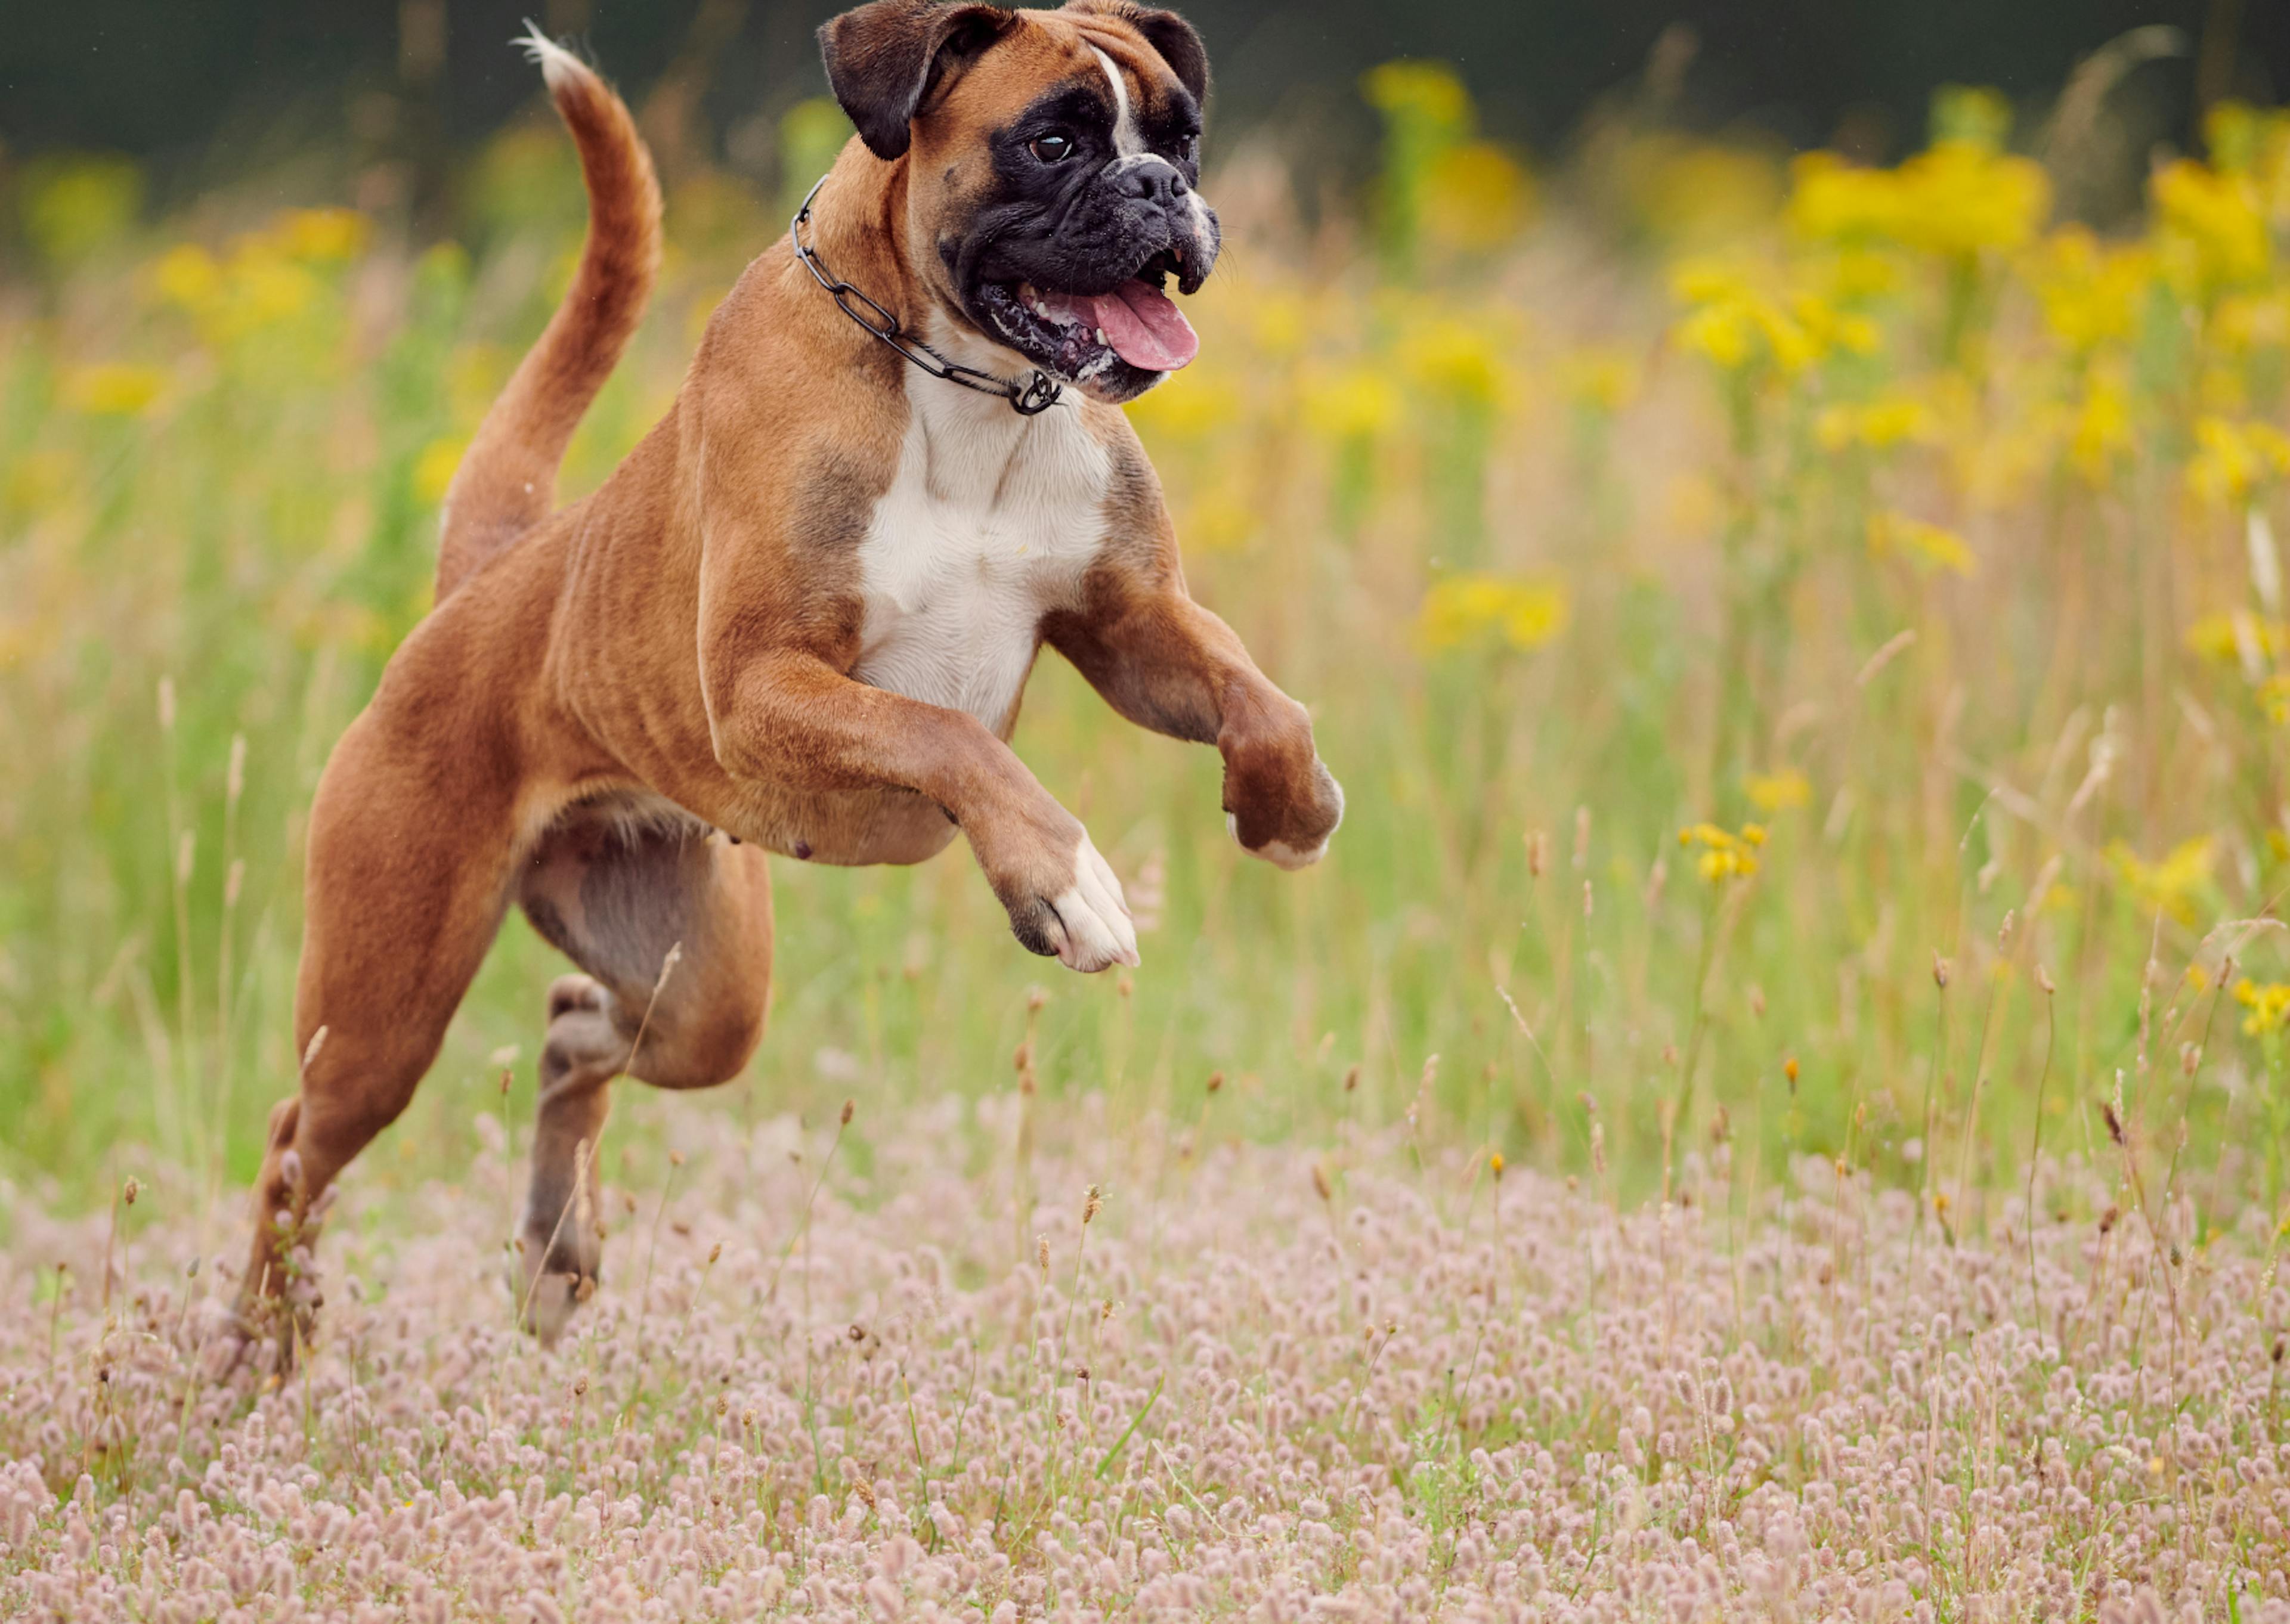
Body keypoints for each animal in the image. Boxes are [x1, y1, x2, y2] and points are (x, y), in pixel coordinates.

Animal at [232, 0, 1337, 1347]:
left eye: (1182, 137)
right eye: (1055, 140)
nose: (1164, 189)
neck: (967, 384)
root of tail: (488, 579)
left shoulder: (1130, 624)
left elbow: (1258, 697)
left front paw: (1289, 808)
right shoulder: (765, 687)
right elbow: (953, 739)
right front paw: (1066, 884)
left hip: (702, 987)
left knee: (574, 1033)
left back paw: (552, 1254)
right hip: (382, 1011)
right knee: (297, 1148)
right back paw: (259, 1350)